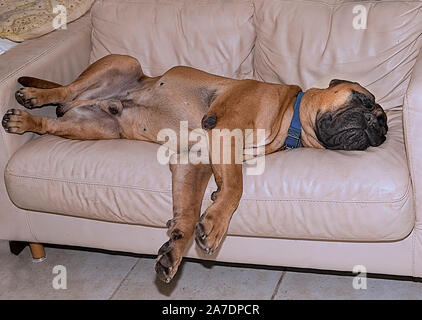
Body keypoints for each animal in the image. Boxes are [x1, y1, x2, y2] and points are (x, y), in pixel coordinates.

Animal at [1, 54, 388, 282]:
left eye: (381, 119)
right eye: (363, 100)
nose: (380, 127)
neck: (288, 118)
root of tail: (99, 100)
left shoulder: (195, 161)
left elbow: (189, 210)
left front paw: (177, 245)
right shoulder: (224, 132)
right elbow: (236, 187)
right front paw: (216, 225)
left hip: (95, 127)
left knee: (54, 118)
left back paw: (28, 120)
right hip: (122, 63)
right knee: (64, 91)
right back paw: (33, 97)